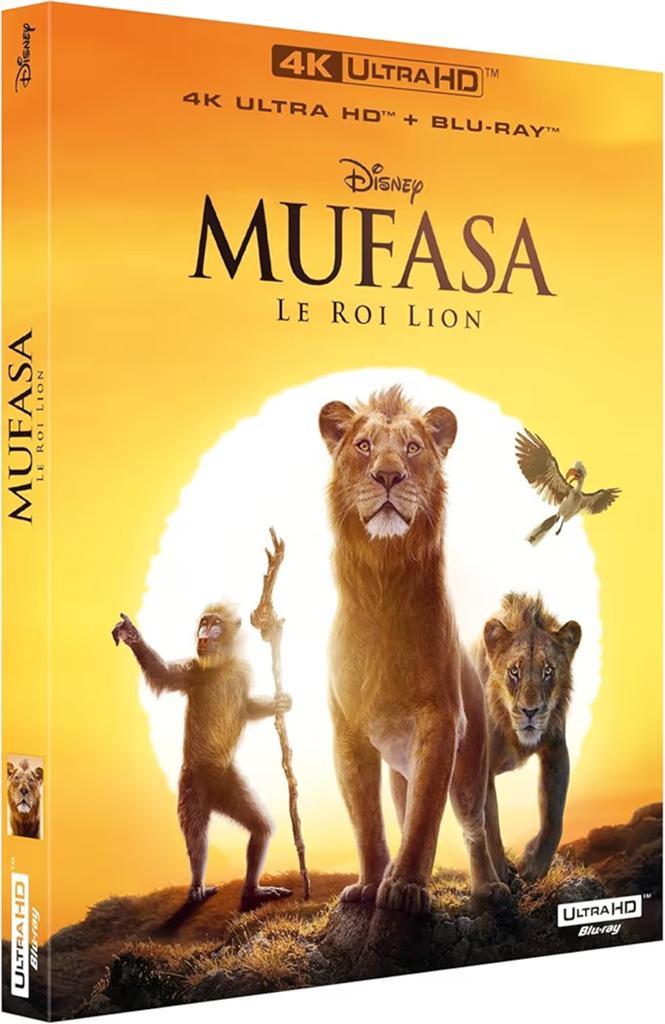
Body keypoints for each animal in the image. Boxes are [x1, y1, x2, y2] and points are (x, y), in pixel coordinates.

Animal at [319, 385, 507, 915]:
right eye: (363, 446)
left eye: (413, 448)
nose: (387, 475)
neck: (383, 584)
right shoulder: (348, 733)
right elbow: (366, 820)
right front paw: (370, 883)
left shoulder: (440, 720)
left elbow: (427, 815)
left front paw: (404, 889)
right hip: (401, 771)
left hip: (469, 768)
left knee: (473, 826)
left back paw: (489, 888)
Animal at [478, 593, 581, 882]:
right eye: (514, 671)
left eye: (548, 671)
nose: (530, 711)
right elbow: (491, 826)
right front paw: (501, 874)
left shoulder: (556, 749)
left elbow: (554, 817)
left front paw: (534, 864)